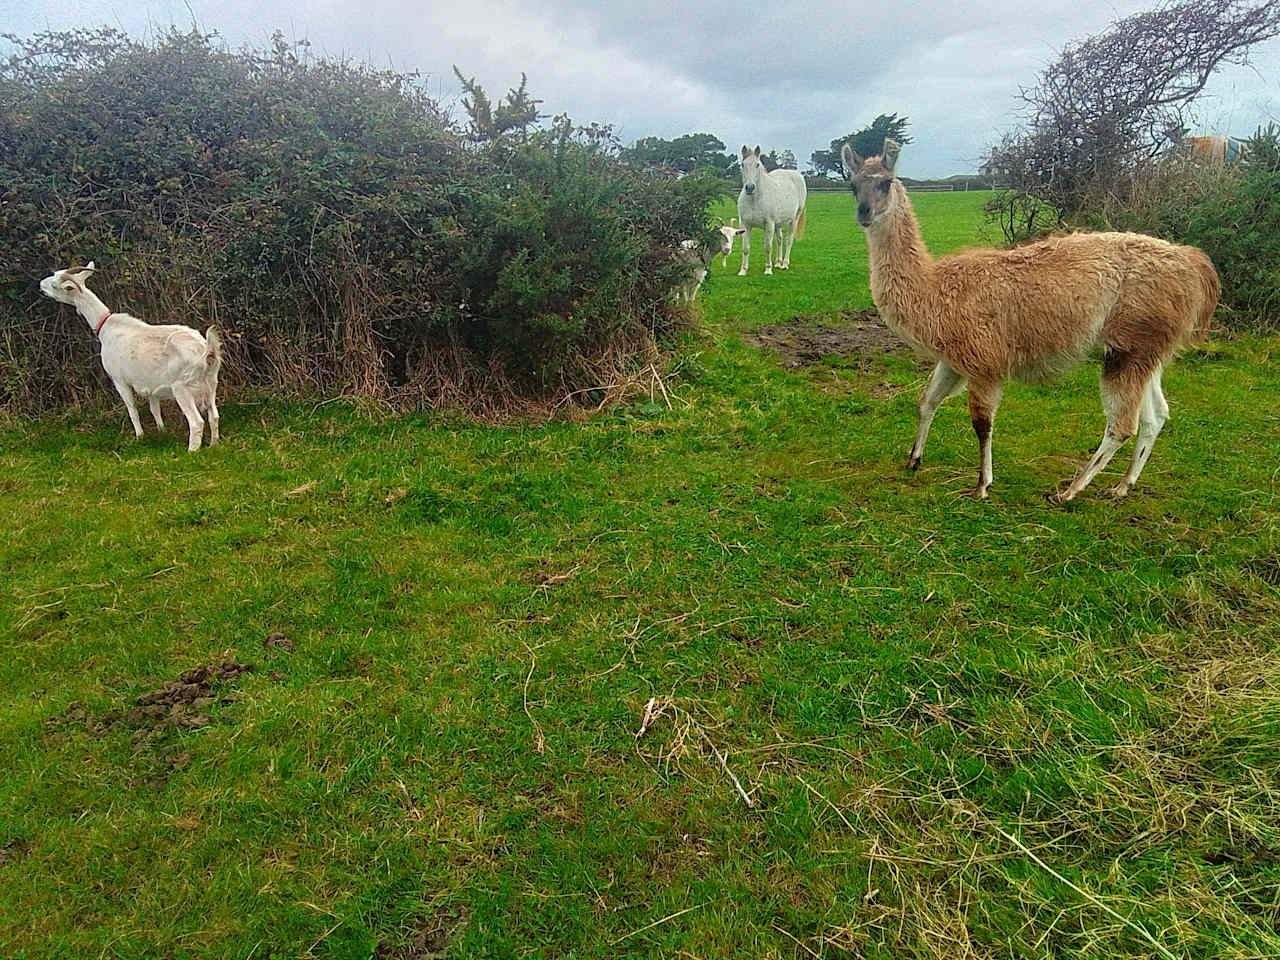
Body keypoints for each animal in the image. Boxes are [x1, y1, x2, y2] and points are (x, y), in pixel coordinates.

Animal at [41, 261, 224, 453]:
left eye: (55, 285)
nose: (41, 285)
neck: (106, 328)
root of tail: (207, 352)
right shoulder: (151, 385)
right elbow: (154, 409)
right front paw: (162, 431)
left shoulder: (119, 379)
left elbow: (132, 409)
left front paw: (139, 437)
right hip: (211, 384)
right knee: (214, 416)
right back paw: (214, 445)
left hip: (182, 387)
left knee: (197, 422)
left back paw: (191, 451)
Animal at [737, 144, 803, 276]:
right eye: (742, 164)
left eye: (757, 164)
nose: (750, 187)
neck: (754, 200)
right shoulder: (745, 225)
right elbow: (745, 248)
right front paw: (743, 270)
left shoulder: (769, 224)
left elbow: (767, 247)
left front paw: (768, 269)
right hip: (778, 224)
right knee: (779, 240)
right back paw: (778, 262)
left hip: (794, 220)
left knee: (788, 240)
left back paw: (785, 264)